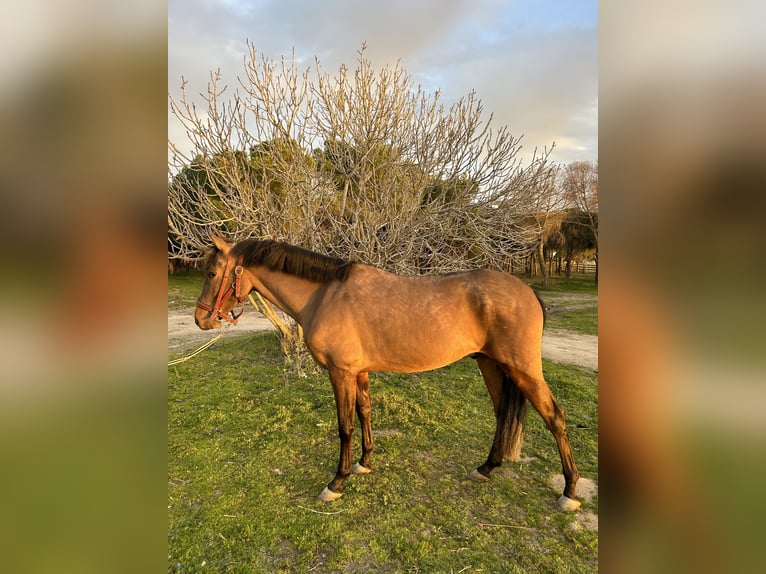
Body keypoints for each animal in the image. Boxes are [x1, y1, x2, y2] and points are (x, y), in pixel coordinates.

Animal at [194, 234, 581, 511]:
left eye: (212, 273)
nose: (201, 320)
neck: (324, 295)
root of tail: (527, 291)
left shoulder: (340, 373)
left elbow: (344, 426)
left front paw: (337, 482)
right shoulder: (358, 372)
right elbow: (364, 411)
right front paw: (364, 462)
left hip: (523, 370)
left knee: (555, 418)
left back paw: (570, 491)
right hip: (490, 364)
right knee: (502, 413)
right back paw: (487, 467)